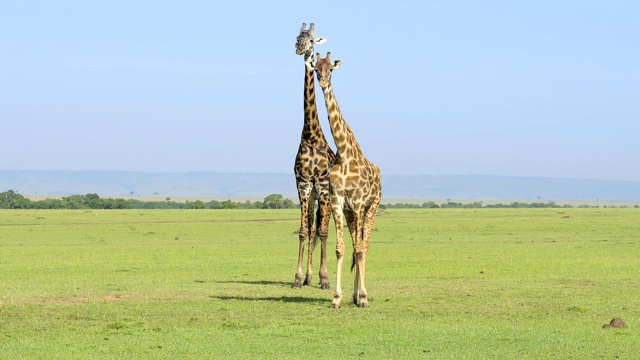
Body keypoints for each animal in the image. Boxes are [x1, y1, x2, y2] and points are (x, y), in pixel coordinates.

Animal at [314, 52, 382, 308]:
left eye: (331, 69)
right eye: (316, 68)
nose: (323, 82)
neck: (344, 153)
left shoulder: (361, 203)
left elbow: (361, 249)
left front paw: (364, 297)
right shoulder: (338, 202)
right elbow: (341, 249)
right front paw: (337, 297)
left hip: (372, 207)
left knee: (364, 246)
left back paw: (361, 296)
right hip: (352, 213)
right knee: (355, 245)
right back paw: (353, 295)